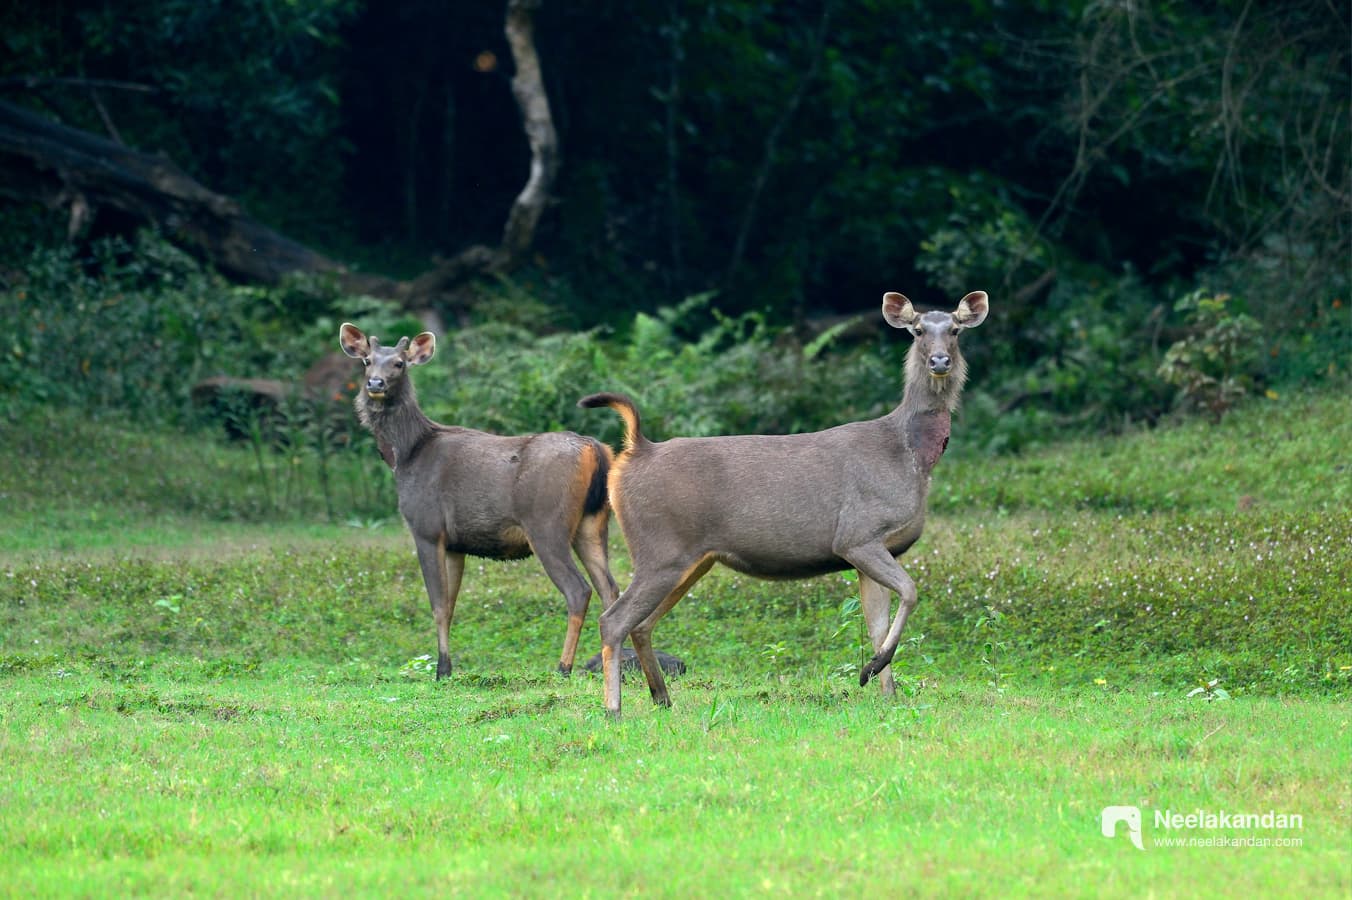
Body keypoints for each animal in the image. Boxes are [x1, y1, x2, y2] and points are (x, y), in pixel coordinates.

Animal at [339, 322, 619, 679]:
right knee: (611, 589)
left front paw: (442, 669)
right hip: (593, 523)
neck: (405, 455)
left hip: (546, 524)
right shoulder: (456, 543)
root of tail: (596, 450)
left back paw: (563, 666)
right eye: (367, 361)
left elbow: (438, 605)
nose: (375, 384)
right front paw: (447, 666)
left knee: (579, 589)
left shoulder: (426, 528)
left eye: (399, 363)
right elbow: (451, 604)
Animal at [580, 290, 988, 717]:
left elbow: (876, 624)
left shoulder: (877, 549)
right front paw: (871, 670)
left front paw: (884, 689)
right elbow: (910, 591)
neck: (912, 456)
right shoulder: (858, 534)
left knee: (641, 623)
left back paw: (661, 698)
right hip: (659, 548)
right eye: (918, 330)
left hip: (691, 558)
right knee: (614, 620)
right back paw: (614, 709)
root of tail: (634, 451)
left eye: (955, 330)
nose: (939, 361)